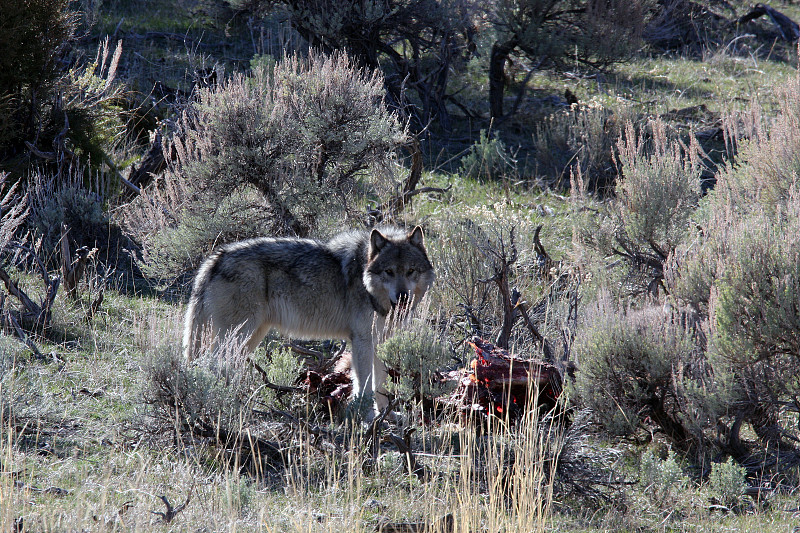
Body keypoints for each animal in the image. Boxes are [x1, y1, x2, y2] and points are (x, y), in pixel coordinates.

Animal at [184, 224, 434, 416]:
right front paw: (368, 418)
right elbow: (364, 385)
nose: (402, 297)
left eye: (411, 271)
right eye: (388, 272)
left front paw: (387, 415)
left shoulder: (379, 341)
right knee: (212, 366)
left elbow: (380, 382)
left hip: (248, 339)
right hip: (237, 337)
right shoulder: (361, 340)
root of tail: (216, 258)